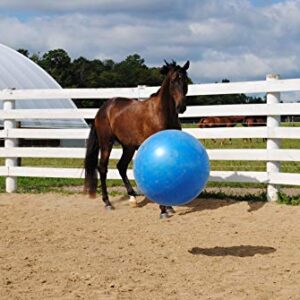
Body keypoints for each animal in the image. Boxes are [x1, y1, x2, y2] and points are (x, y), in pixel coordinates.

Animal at [83, 59, 189, 218]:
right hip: (107, 143)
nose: (181, 107)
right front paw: (163, 210)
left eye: (185, 80)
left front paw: (169, 207)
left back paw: (132, 197)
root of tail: (103, 108)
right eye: (173, 81)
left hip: (129, 147)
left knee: (121, 166)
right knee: (103, 168)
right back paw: (108, 203)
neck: (161, 113)